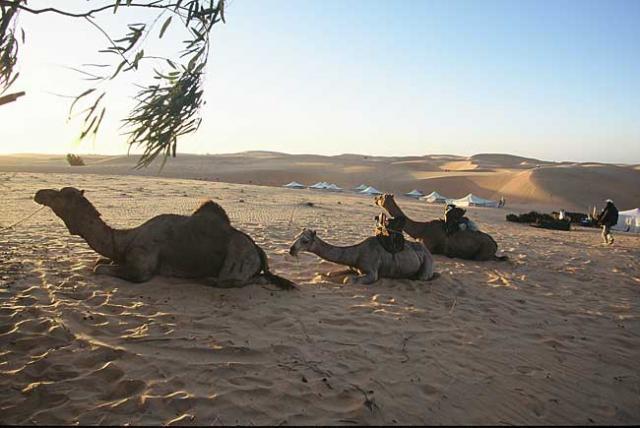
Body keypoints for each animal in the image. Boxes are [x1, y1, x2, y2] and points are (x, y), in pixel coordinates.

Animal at [33, 186, 296, 290]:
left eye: (61, 194)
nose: (39, 193)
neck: (124, 240)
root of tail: (258, 250)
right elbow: (100, 262)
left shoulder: (142, 268)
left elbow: (100, 269)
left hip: (237, 259)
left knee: (242, 280)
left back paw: (210, 279)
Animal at [288, 227, 436, 284]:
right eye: (297, 236)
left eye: (305, 241)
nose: (291, 250)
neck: (357, 253)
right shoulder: (352, 267)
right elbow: (332, 273)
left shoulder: (372, 273)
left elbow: (348, 280)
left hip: (427, 262)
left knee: (424, 276)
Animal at [372, 194, 508, 260]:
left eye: (381, 197)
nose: (374, 198)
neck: (421, 230)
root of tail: (495, 244)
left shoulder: (429, 247)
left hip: (483, 252)